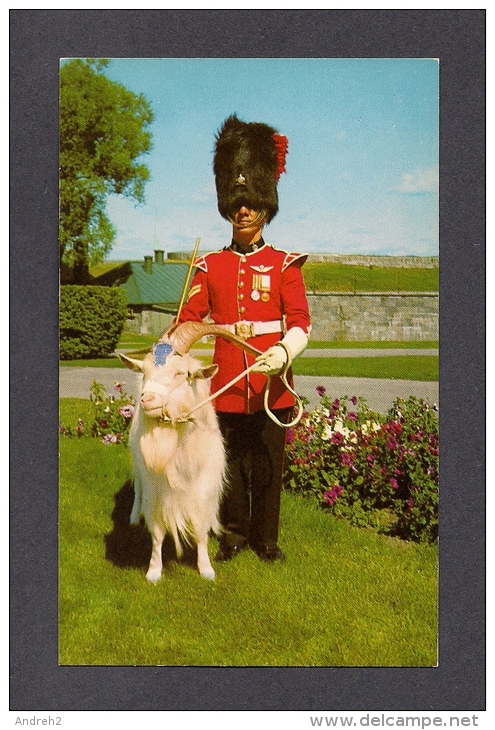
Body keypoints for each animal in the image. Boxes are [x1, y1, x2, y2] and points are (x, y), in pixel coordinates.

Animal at [121, 350, 226, 584]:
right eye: (145, 372)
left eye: (181, 373)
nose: (147, 399)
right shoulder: (156, 494)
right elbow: (158, 533)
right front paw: (153, 571)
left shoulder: (203, 491)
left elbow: (200, 529)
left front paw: (206, 568)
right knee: (138, 487)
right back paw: (133, 518)